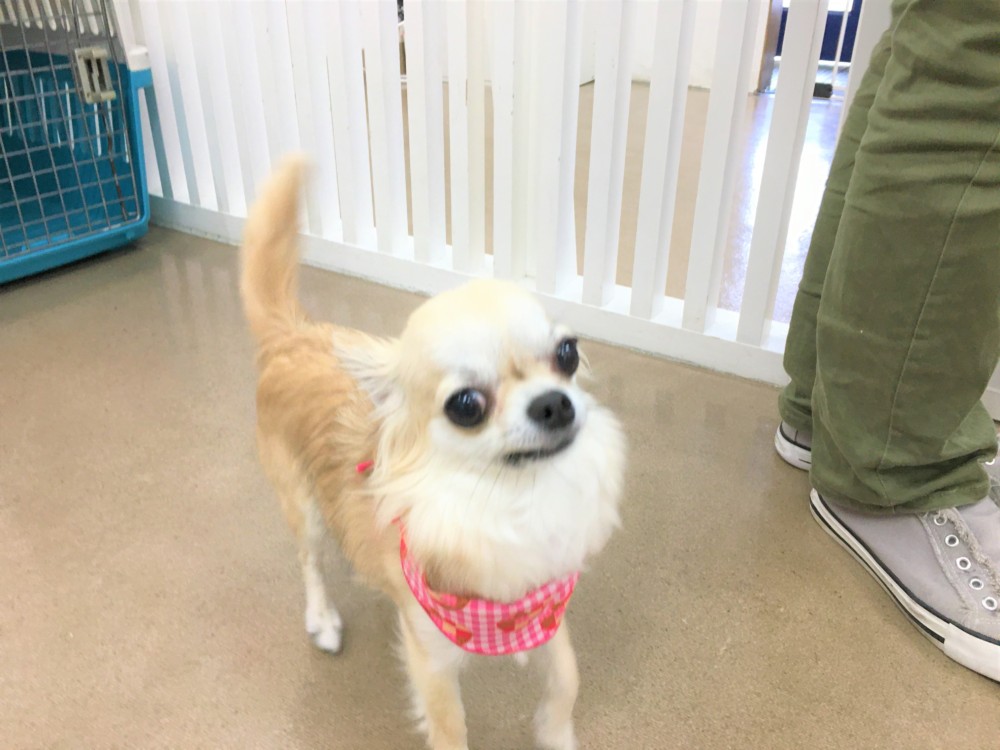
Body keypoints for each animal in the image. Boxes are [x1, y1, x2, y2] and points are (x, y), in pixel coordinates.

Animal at [239, 156, 625, 750]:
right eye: (466, 405)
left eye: (567, 352)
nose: (554, 403)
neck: (509, 499)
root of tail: (294, 337)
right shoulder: (432, 660)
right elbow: (449, 727)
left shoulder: (544, 615)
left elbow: (566, 680)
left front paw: (555, 734)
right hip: (302, 507)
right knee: (309, 562)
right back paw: (322, 618)